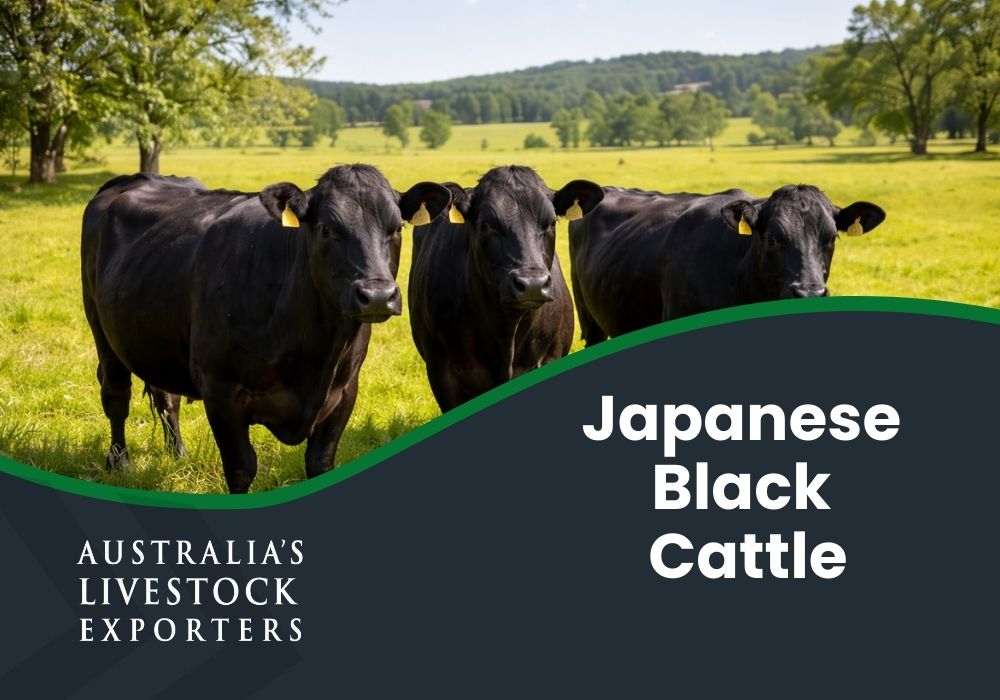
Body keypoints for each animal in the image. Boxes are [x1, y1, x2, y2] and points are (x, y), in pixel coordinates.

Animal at [82, 166, 451, 493]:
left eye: (397, 228)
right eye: (326, 229)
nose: (377, 295)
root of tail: (134, 178)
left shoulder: (345, 390)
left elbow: (320, 464)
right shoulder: (220, 390)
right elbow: (241, 469)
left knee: (167, 398)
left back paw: (178, 453)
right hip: (101, 328)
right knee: (116, 397)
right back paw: (120, 463)